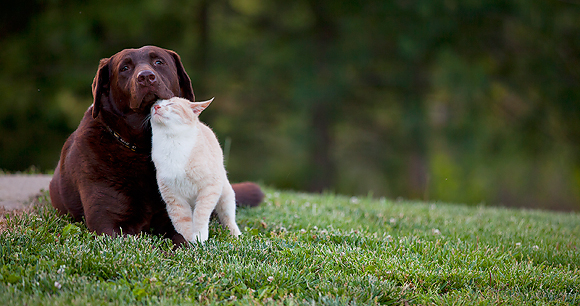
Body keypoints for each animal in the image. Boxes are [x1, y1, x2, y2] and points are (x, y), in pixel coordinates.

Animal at [151, 96, 241, 244]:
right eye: (155, 105)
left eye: (171, 104)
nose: (156, 107)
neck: (171, 142)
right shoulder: (173, 197)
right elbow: (182, 221)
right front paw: (187, 242)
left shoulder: (210, 188)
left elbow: (201, 213)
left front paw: (200, 238)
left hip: (226, 195)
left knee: (228, 217)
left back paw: (236, 235)